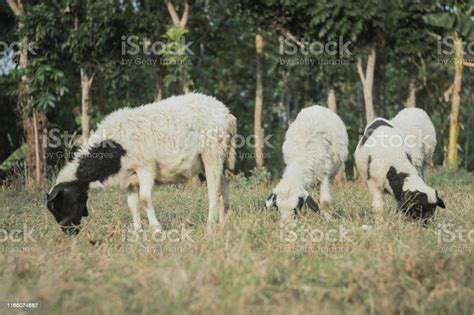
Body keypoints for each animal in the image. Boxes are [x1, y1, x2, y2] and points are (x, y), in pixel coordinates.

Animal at [46, 93, 235, 235]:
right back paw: (223, 222)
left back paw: (210, 227)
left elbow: (144, 199)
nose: (69, 233)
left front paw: (157, 229)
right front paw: (137, 231)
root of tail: (227, 114)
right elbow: (133, 205)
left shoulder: (145, 167)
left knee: (214, 191)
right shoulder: (130, 177)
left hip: (212, 153)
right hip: (215, 158)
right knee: (223, 186)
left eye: (59, 205)